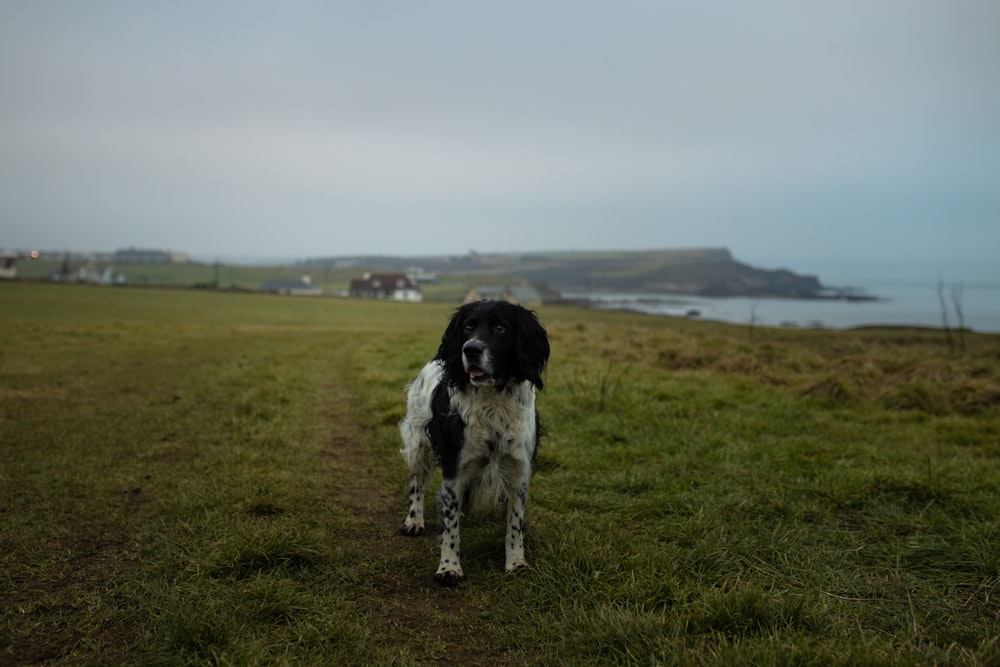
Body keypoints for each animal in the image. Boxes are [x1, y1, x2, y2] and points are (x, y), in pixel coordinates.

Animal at [396, 298, 552, 584]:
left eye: (500, 328)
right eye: (468, 328)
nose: (470, 349)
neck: (494, 401)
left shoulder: (519, 470)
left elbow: (514, 524)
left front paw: (516, 562)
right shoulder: (455, 467)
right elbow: (450, 527)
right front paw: (448, 567)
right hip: (417, 445)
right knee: (417, 484)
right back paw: (414, 521)